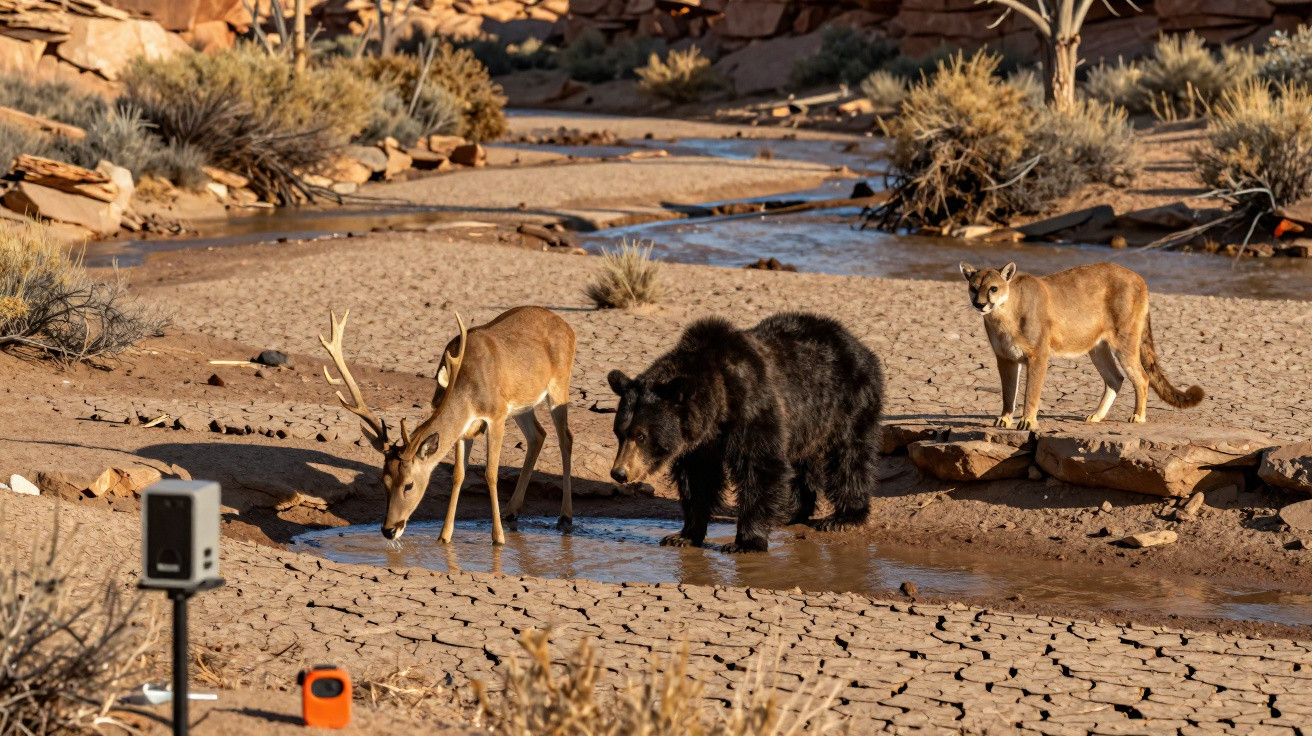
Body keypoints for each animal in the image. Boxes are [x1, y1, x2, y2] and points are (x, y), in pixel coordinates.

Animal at [606, 312, 884, 553]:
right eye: (619, 432)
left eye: (641, 435)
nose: (619, 473)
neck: (718, 405)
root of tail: (856, 343)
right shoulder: (700, 442)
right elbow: (697, 480)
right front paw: (682, 536)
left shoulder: (752, 409)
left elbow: (759, 466)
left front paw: (745, 542)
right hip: (807, 422)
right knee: (804, 461)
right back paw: (791, 511)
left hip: (846, 403)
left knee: (849, 457)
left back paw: (842, 517)